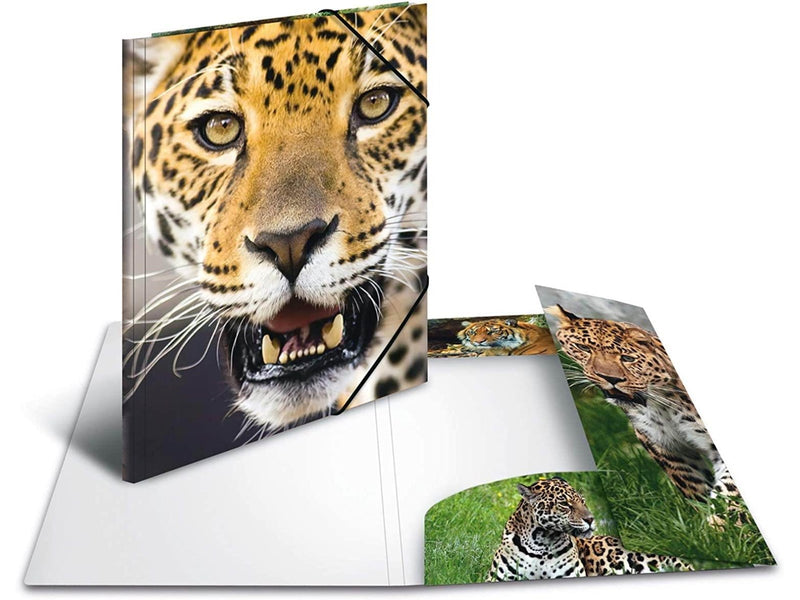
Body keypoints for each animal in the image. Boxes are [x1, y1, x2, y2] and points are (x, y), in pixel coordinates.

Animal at [544, 305, 740, 504]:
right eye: (583, 348)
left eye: (628, 358)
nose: (611, 379)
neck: (661, 406)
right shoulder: (665, 446)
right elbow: (693, 485)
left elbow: (729, 488)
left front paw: (725, 512)